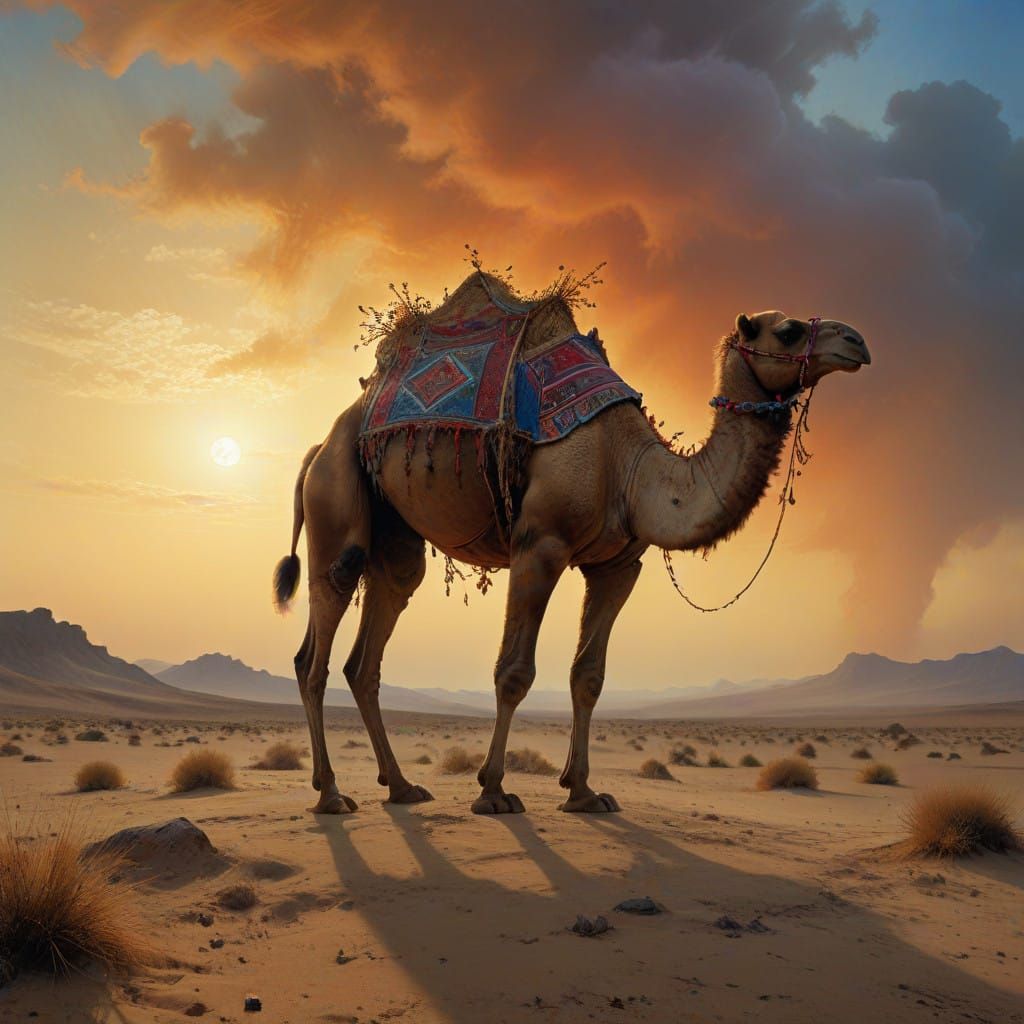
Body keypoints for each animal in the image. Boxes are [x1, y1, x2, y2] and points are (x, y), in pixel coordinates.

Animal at [272, 273, 870, 815]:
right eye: (788, 331)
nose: (857, 341)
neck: (629, 465)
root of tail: (317, 447)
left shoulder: (618, 565)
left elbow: (589, 677)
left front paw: (582, 792)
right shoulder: (540, 545)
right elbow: (514, 672)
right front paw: (493, 790)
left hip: (394, 533)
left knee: (370, 647)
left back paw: (400, 787)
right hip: (335, 498)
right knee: (315, 649)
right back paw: (331, 793)